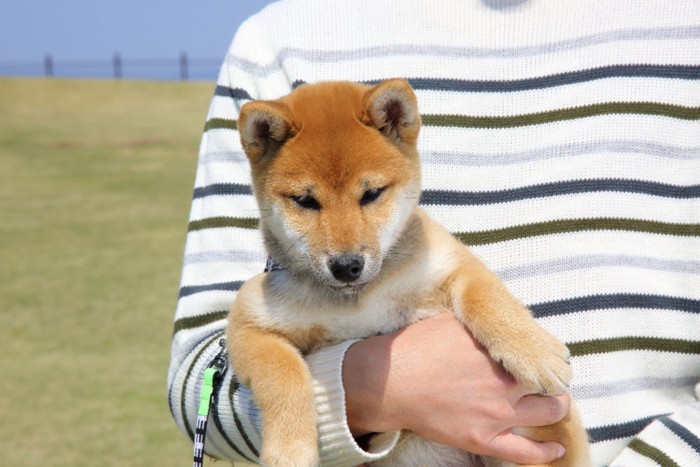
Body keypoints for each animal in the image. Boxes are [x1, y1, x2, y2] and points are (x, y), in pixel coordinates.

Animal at [226, 78, 592, 466]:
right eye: (305, 201)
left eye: (371, 193)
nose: (346, 266)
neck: (358, 301)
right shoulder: (249, 324)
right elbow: (284, 374)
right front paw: (290, 450)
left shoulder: (452, 263)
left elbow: (486, 299)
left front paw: (536, 355)